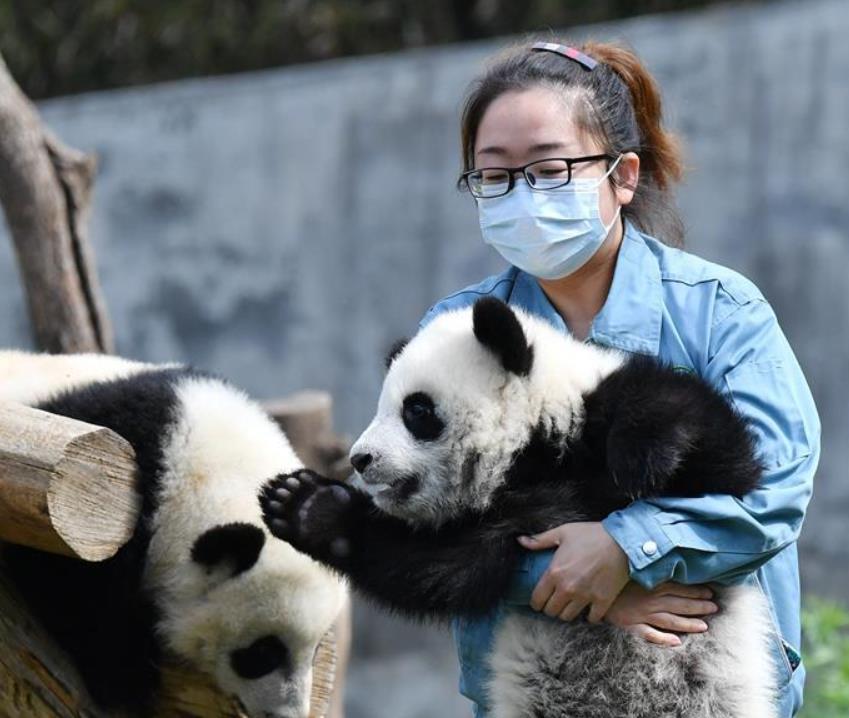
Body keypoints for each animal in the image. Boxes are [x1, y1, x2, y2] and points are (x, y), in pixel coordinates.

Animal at [0, 354, 346, 718]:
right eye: (263, 652)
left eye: (316, 649)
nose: (286, 714)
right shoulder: (93, 494)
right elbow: (68, 584)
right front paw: (124, 678)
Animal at [262, 300, 780, 718]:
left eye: (416, 411)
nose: (360, 459)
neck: (532, 452)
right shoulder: (486, 529)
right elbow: (435, 567)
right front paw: (308, 507)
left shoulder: (596, 411)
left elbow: (722, 457)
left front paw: (641, 461)